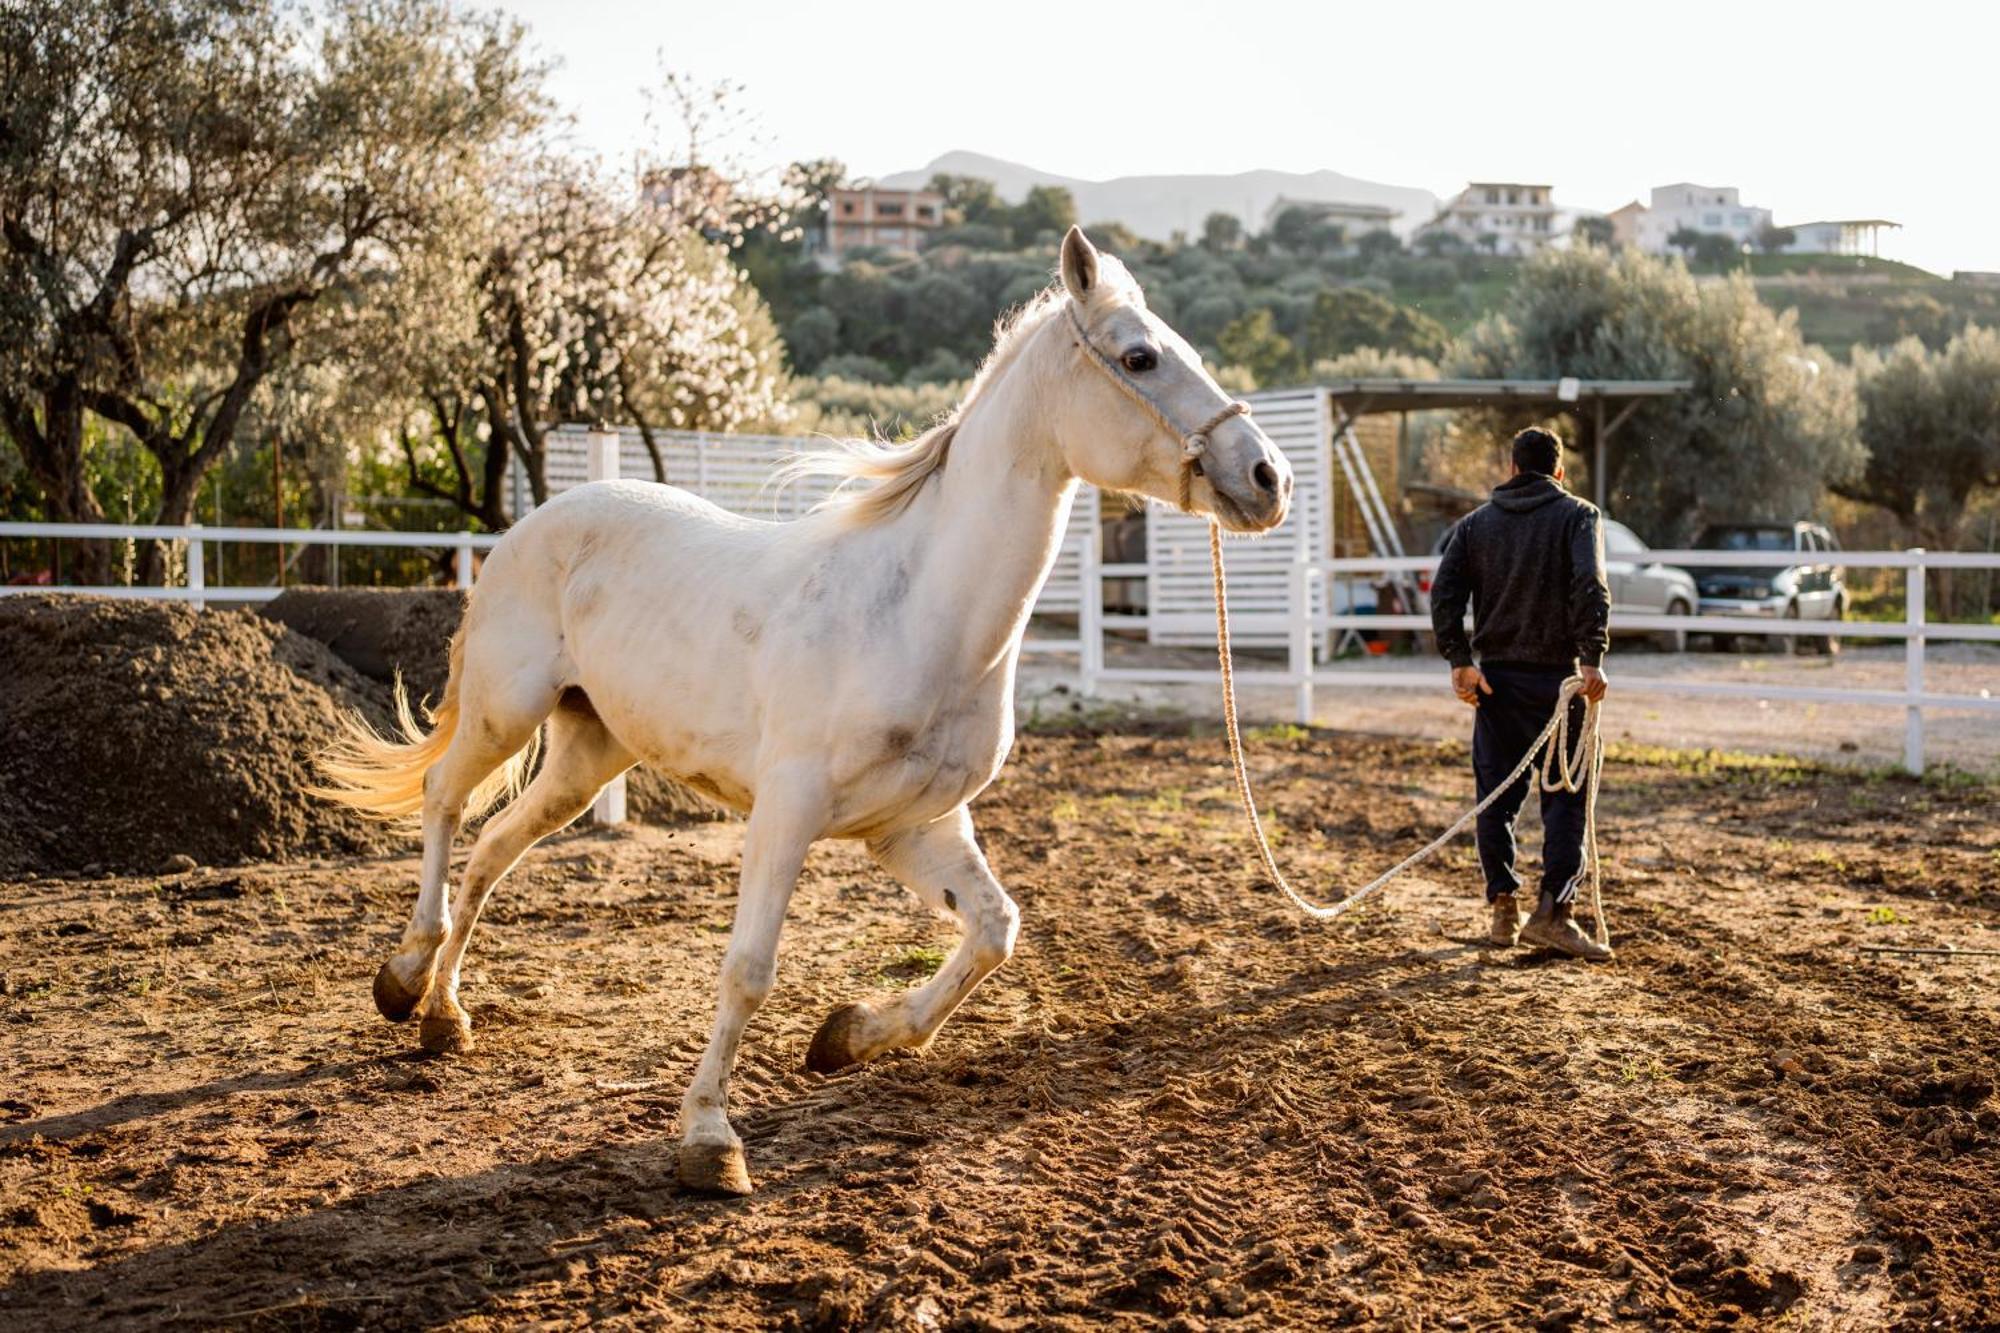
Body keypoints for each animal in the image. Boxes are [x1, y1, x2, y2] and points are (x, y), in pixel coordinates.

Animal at [308, 223, 1280, 1184]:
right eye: (1141, 356)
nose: (1268, 476)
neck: (917, 610)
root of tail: (528, 527)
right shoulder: (787, 810)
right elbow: (749, 968)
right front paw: (709, 1137)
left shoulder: (915, 826)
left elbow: (994, 931)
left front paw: (850, 1036)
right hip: (504, 711)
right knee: (444, 803)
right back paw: (404, 977)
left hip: (588, 756)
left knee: (493, 852)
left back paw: (445, 1016)